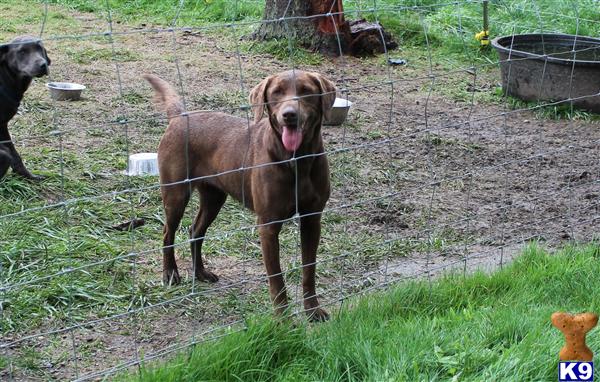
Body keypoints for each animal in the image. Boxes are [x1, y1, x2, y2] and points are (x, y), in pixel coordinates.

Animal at [0, 35, 50, 179]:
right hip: (3, 156)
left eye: (40, 49)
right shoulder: (2, 126)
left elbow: (15, 155)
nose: (43, 64)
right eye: (22, 51)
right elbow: (13, 153)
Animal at [144, 70, 336, 320]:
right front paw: (283, 319)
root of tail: (179, 116)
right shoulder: (268, 226)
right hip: (176, 193)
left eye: (306, 91)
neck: (296, 160)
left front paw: (312, 310)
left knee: (195, 231)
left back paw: (201, 273)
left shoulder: (312, 219)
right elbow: (276, 278)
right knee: (168, 232)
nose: (289, 115)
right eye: (277, 92)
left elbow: (308, 269)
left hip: (214, 197)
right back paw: (170, 274)